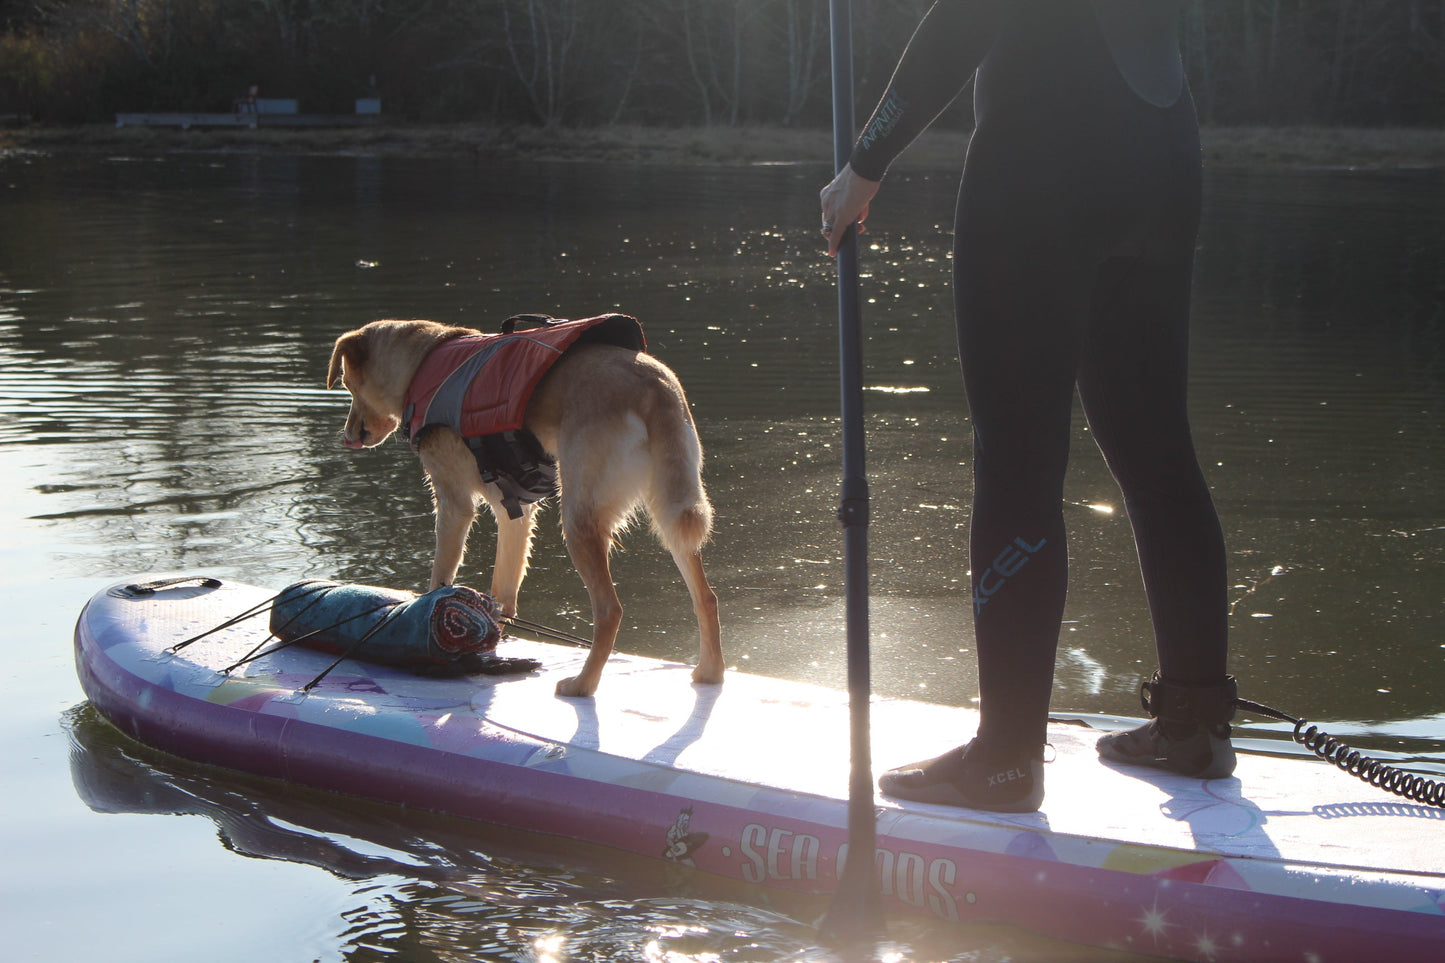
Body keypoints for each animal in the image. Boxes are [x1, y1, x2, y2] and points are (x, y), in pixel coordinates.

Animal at [332, 315, 728, 696]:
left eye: (349, 386)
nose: (347, 437)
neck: (423, 360)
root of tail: (653, 386)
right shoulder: (513, 512)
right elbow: (505, 586)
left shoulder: (454, 504)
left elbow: (441, 574)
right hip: (672, 511)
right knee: (706, 597)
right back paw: (710, 672)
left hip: (580, 520)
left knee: (609, 610)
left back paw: (583, 684)